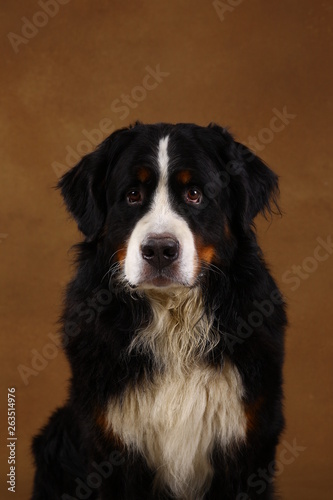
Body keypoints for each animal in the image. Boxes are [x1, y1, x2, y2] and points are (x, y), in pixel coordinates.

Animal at [31, 122, 286, 500]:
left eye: (194, 194)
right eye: (132, 195)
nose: (160, 250)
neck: (173, 322)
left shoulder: (247, 446)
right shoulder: (112, 446)